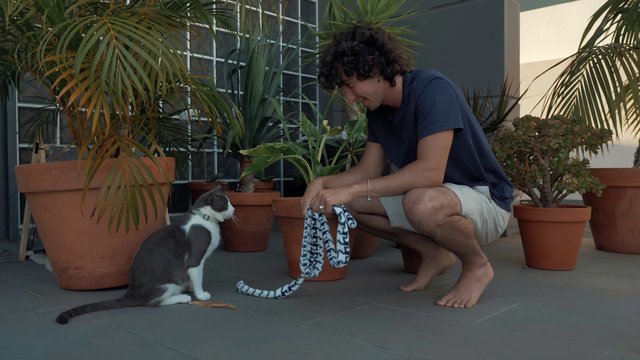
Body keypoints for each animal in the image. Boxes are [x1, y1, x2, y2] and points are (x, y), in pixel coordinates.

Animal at [55, 184, 235, 324]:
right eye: (226, 203)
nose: (234, 209)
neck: (205, 218)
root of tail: (132, 291)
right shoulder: (196, 259)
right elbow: (197, 277)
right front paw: (201, 294)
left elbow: (191, 278)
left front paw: (190, 286)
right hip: (168, 283)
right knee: (153, 303)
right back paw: (182, 297)